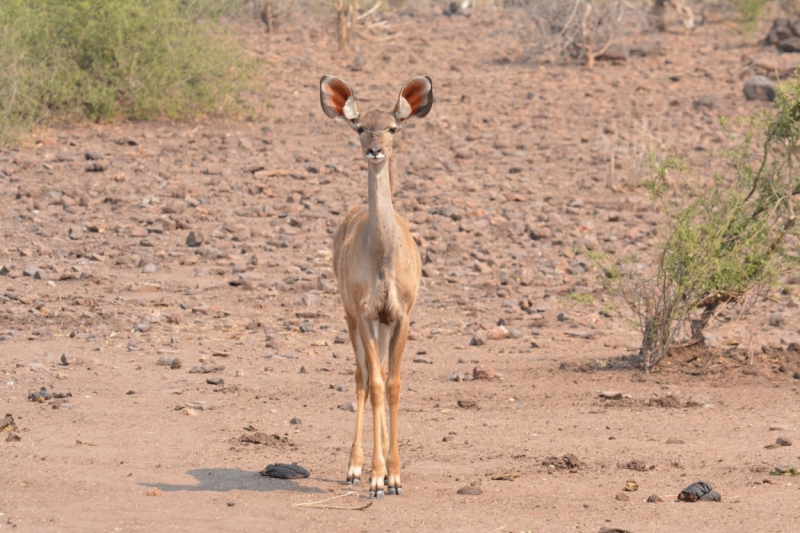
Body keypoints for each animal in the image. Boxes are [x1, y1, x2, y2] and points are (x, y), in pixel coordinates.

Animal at [318, 75, 432, 498]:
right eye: (359, 126)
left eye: (393, 127)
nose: (374, 150)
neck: (382, 254)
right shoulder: (366, 314)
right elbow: (377, 383)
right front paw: (378, 476)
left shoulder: (400, 317)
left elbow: (394, 384)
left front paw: (394, 475)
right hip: (350, 317)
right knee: (363, 377)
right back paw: (355, 468)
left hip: (381, 327)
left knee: (378, 373)